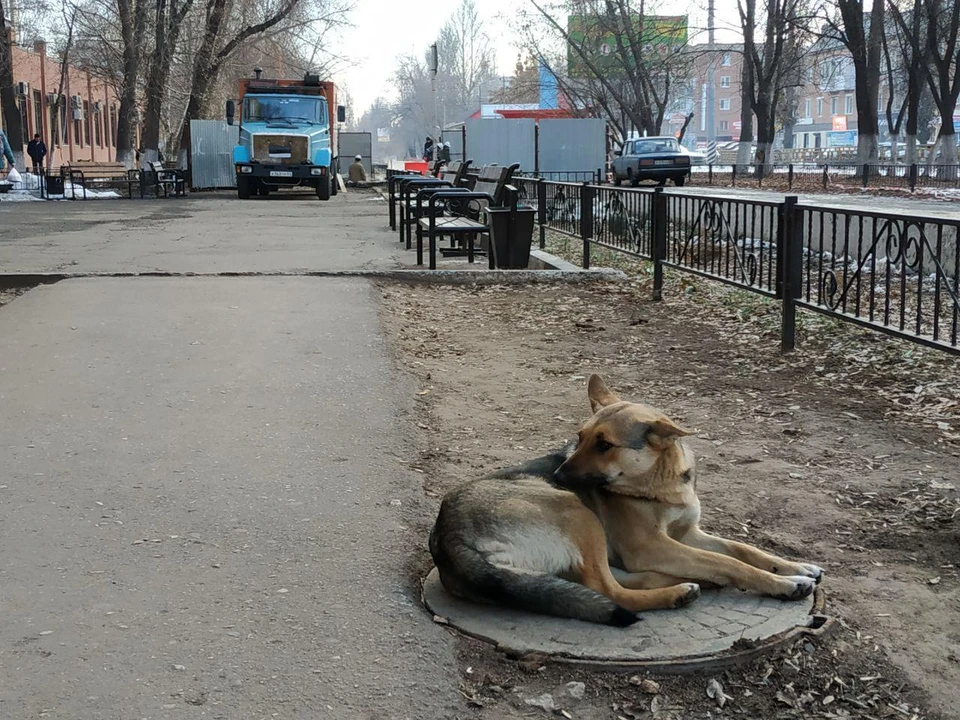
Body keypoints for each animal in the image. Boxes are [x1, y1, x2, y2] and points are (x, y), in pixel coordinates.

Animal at [432, 374, 820, 628]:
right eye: (580, 437)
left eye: (604, 444)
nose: (557, 475)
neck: (661, 485)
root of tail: (446, 538)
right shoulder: (651, 545)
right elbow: (729, 562)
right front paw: (785, 585)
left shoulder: (687, 534)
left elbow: (743, 550)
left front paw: (795, 567)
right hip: (578, 512)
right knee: (608, 590)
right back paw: (677, 592)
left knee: (615, 581)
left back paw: (686, 581)